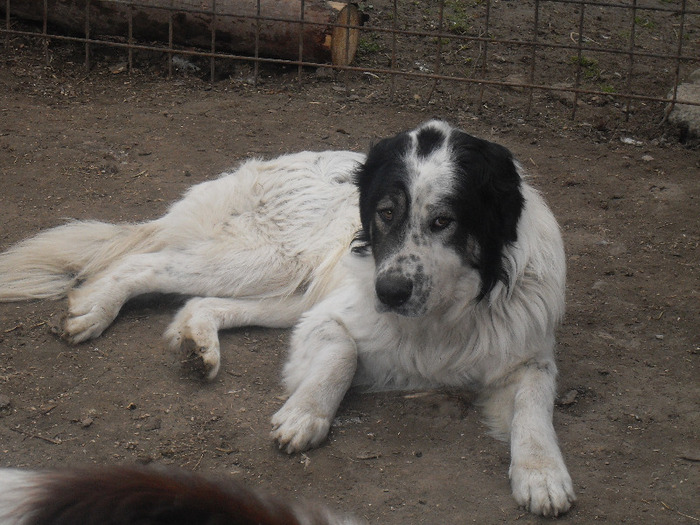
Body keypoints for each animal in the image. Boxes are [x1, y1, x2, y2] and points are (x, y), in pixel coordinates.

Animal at [0, 121, 576, 512]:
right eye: (386, 213)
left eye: (444, 221)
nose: (389, 292)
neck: (443, 313)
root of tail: (257, 166)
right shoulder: (330, 318)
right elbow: (342, 355)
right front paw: (306, 415)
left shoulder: (527, 356)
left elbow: (534, 407)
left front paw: (542, 474)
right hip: (262, 263)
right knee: (142, 264)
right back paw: (95, 311)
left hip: (287, 290)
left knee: (197, 301)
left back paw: (197, 345)